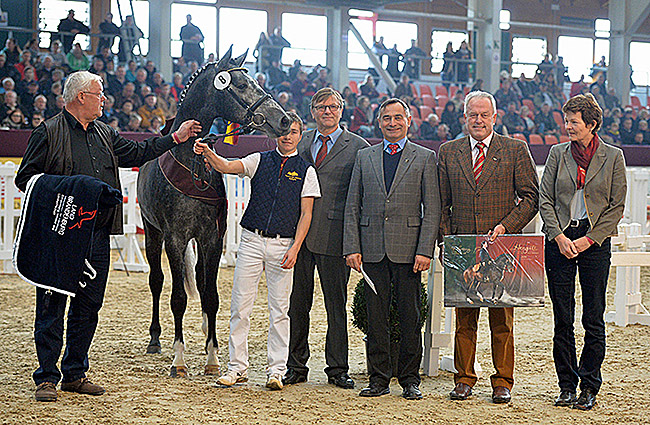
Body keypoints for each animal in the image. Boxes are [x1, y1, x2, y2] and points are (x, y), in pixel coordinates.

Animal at [137, 47, 291, 377]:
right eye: (242, 85)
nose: (284, 120)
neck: (191, 162)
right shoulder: (175, 238)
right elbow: (178, 298)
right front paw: (179, 361)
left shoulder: (212, 237)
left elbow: (211, 295)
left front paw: (212, 356)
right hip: (152, 232)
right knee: (156, 281)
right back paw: (155, 339)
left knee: (200, 280)